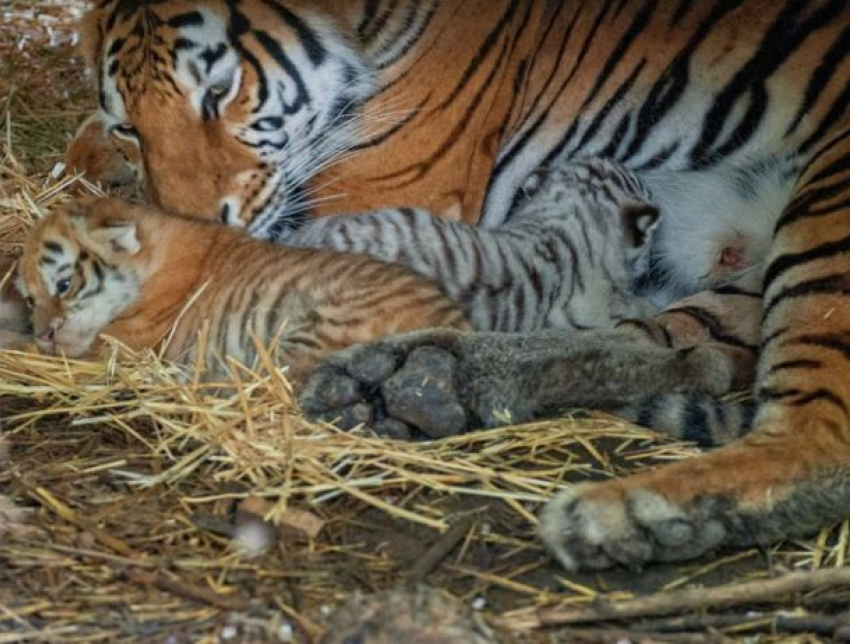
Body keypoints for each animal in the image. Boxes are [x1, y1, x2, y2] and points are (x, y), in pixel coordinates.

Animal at [68, 1, 850, 568]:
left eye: (219, 93)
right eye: (130, 126)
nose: (196, 222)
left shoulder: (380, 192)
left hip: (825, 212)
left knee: (818, 439)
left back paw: (618, 515)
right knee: (671, 354)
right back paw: (416, 381)